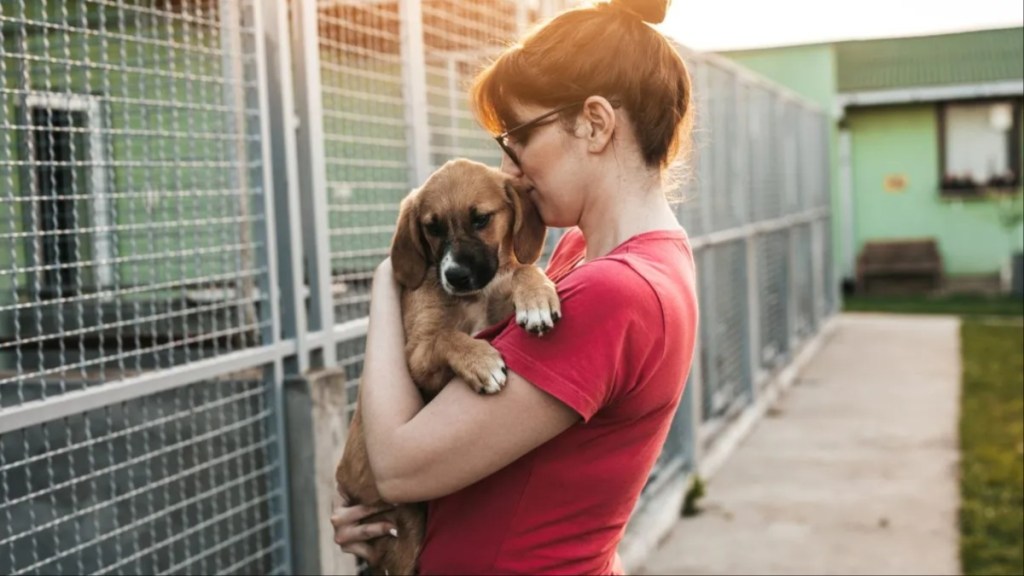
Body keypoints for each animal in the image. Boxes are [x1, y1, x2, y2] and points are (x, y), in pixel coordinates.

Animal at [333, 157, 561, 573]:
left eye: (481, 219)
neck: (473, 298)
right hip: (404, 529)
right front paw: (482, 361)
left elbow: (521, 269)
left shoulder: (497, 306)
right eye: (432, 227)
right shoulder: (417, 356)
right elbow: (446, 337)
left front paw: (537, 296)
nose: (454, 275)